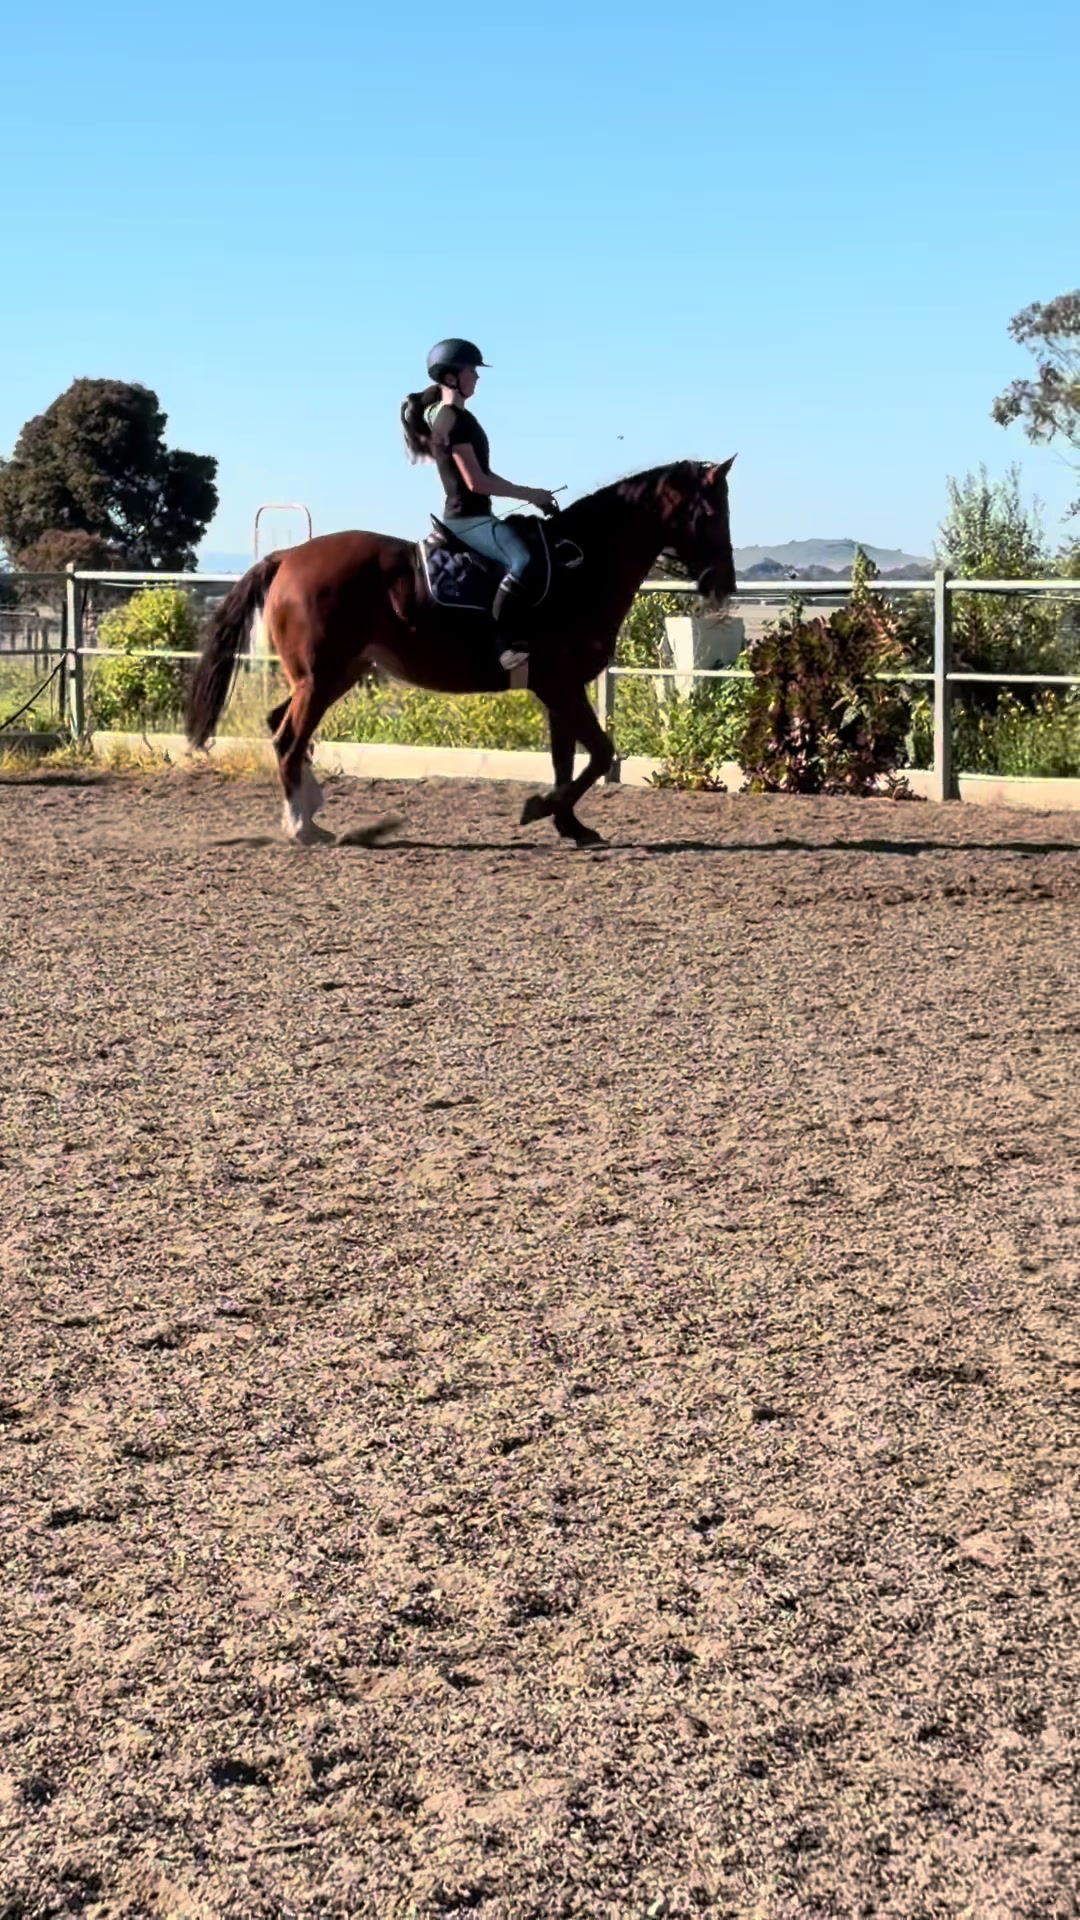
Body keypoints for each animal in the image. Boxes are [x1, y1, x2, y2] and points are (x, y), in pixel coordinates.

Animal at [185, 457, 737, 847]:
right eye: (711, 513)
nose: (724, 585)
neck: (582, 566)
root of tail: (287, 557)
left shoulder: (559, 689)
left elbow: (566, 760)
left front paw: (569, 825)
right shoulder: (559, 686)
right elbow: (599, 754)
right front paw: (540, 810)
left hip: (333, 676)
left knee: (283, 729)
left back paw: (311, 813)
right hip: (321, 679)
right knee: (290, 738)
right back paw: (302, 827)